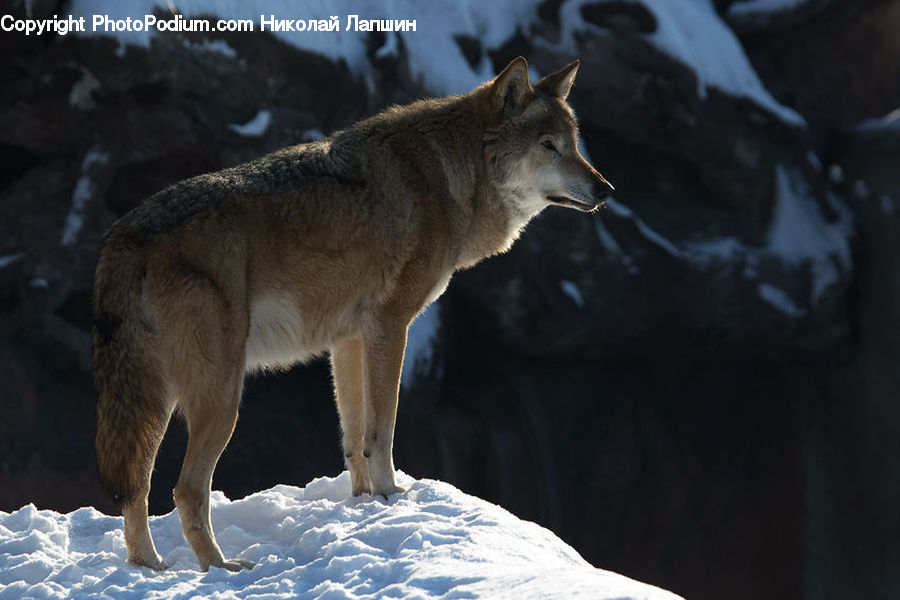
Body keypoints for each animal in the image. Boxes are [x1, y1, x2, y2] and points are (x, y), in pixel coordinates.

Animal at [93, 56, 613, 572]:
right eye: (548, 146)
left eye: (574, 144)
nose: (605, 188)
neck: (451, 177)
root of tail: (123, 235)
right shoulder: (390, 326)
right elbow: (382, 429)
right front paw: (392, 494)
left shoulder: (347, 340)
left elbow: (354, 436)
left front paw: (365, 504)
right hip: (221, 396)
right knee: (185, 490)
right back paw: (221, 568)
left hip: (157, 400)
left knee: (135, 488)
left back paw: (150, 566)